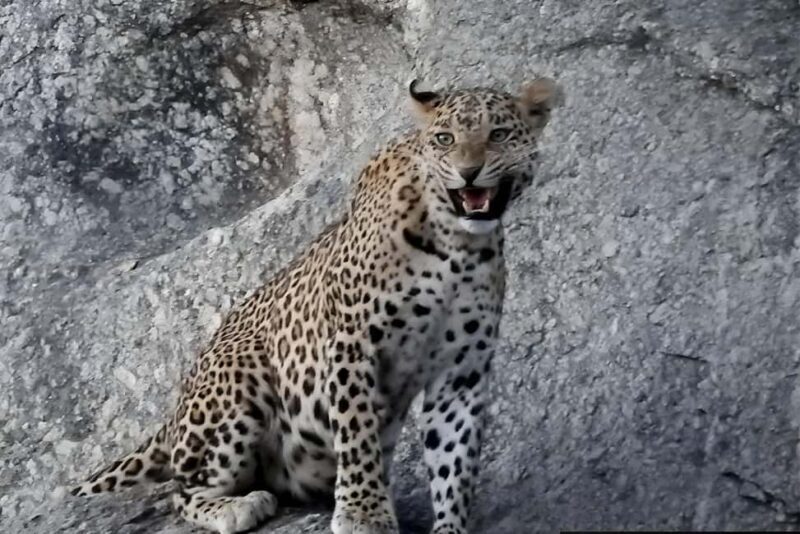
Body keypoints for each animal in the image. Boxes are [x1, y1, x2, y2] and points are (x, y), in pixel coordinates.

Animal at [70, 76, 562, 534]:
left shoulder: (461, 370)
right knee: (181, 491)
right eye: (445, 139)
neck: (455, 245)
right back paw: (237, 506)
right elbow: (357, 431)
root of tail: (171, 418)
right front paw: (364, 513)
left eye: (498, 134)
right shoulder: (353, 342)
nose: (469, 171)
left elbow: (453, 457)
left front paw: (449, 525)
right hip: (239, 376)